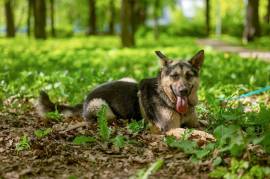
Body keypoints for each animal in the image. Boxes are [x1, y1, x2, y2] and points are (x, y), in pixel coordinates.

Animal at [36, 50, 205, 134]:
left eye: (189, 76)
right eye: (175, 76)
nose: (183, 91)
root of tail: (85, 98)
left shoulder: (193, 123)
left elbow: (202, 126)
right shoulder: (172, 128)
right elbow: (197, 133)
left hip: (129, 79)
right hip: (102, 106)